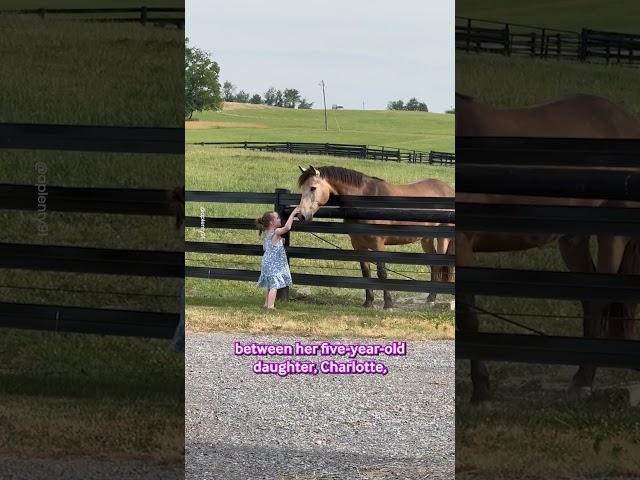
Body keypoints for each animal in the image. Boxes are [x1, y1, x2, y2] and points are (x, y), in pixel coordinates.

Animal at [296, 164, 456, 308]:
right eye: (302, 189)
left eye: (313, 188)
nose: (301, 215)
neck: (366, 200)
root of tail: (448, 189)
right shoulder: (358, 245)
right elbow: (366, 272)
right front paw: (368, 302)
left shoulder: (378, 244)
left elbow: (382, 273)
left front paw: (388, 304)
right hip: (426, 238)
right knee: (433, 264)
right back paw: (430, 298)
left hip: (443, 238)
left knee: (441, 264)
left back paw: (434, 298)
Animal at [458, 92, 640, 404]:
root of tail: (623, 119)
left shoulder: (462, 244)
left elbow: (468, 319)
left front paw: (481, 391)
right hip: (573, 238)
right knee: (589, 299)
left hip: (613, 235)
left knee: (600, 299)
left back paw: (584, 380)